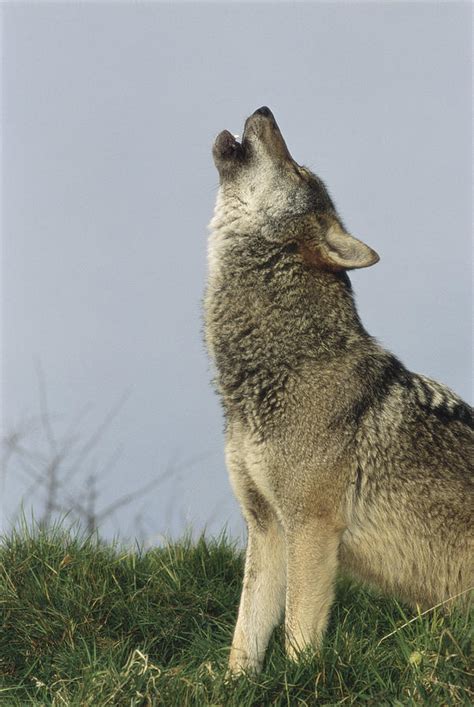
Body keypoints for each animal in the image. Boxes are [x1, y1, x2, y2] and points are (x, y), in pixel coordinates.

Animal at [202, 105, 472, 676]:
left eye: (298, 170)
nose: (264, 109)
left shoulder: (312, 528)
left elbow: (298, 634)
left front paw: (299, 684)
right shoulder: (266, 526)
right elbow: (245, 636)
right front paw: (234, 686)